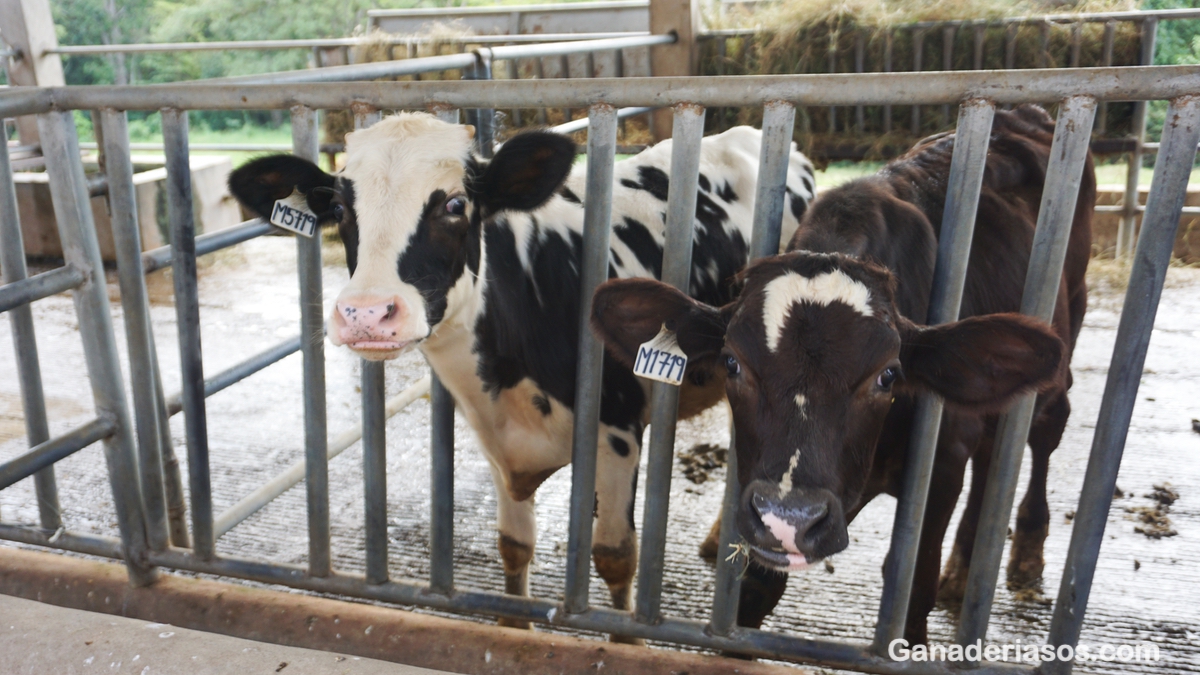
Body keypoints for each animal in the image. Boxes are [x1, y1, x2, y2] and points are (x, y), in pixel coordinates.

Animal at [226, 111, 816, 619]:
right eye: (341, 210)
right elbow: (513, 547)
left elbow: (616, 557)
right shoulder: (495, 440)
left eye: (455, 204)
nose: (366, 313)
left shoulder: (617, 431)